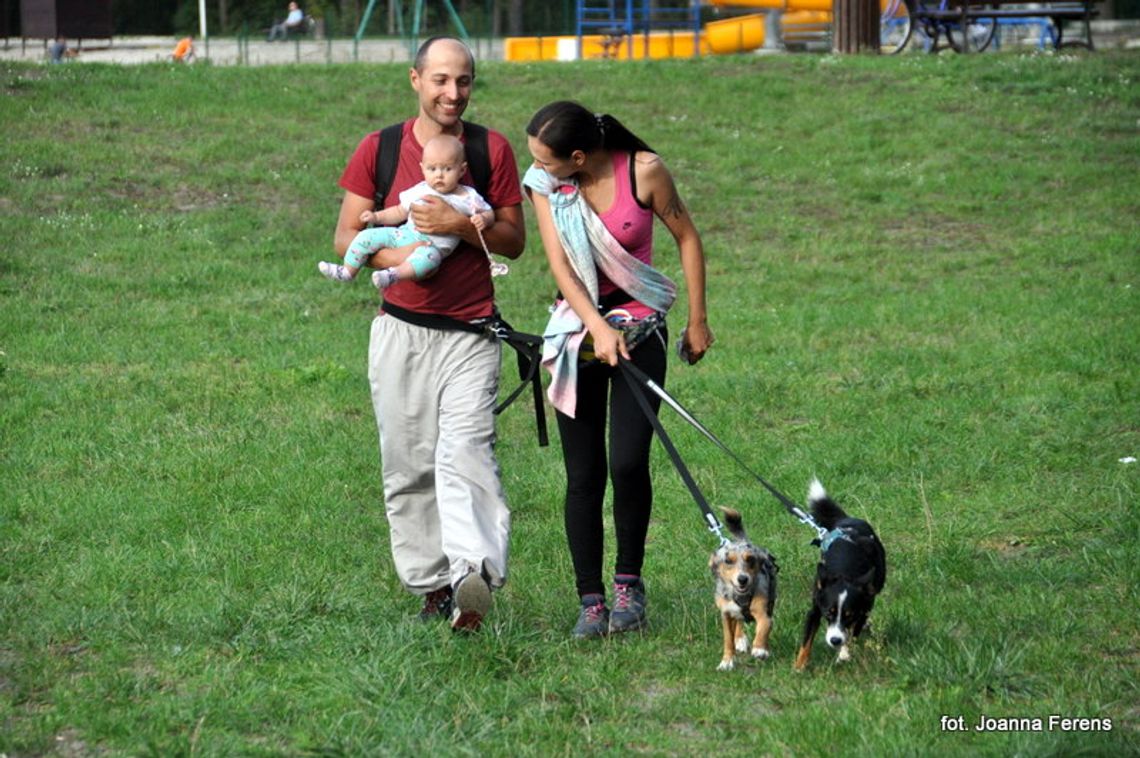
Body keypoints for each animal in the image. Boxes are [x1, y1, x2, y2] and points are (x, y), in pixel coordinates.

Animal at [798, 478, 884, 670]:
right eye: (828, 613)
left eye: (849, 615)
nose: (835, 640)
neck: (845, 571)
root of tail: (847, 519)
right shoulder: (816, 606)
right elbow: (806, 640)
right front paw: (799, 666)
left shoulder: (862, 610)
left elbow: (852, 634)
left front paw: (844, 654)